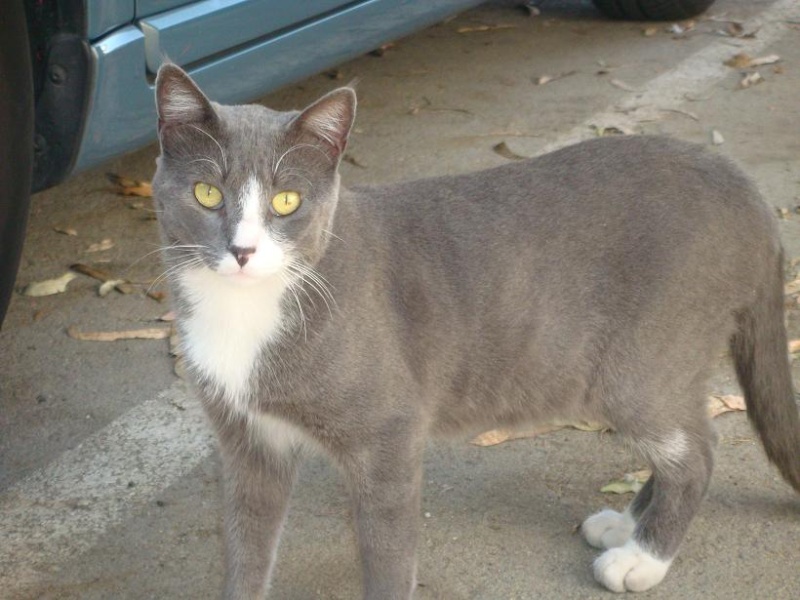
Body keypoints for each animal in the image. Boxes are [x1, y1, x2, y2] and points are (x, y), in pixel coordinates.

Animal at [152, 63, 800, 596]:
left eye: (287, 201)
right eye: (206, 193)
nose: (241, 250)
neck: (246, 313)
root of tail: (746, 188)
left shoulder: (389, 436)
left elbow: (387, 560)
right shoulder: (247, 446)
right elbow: (246, 551)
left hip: (645, 362)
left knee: (697, 450)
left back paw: (642, 557)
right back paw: (625, 525)